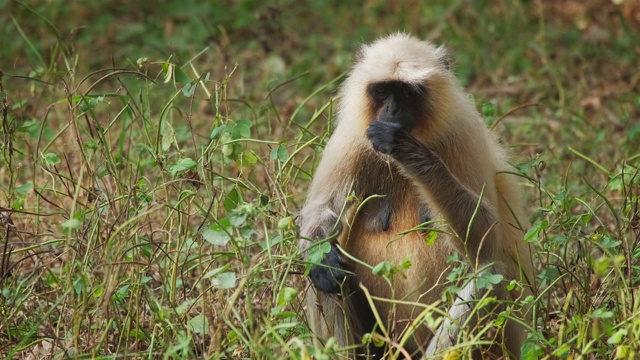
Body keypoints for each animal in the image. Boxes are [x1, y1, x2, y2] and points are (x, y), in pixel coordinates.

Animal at [300, 33, 536, 358]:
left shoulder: (464, 132)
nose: (393, 111)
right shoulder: (351, 138)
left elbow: (486, 239)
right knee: (324, 279)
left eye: (408, 93)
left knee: (489, 276)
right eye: (382, 91)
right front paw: (323, 263)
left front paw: (405, 149)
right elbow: (320, 216)